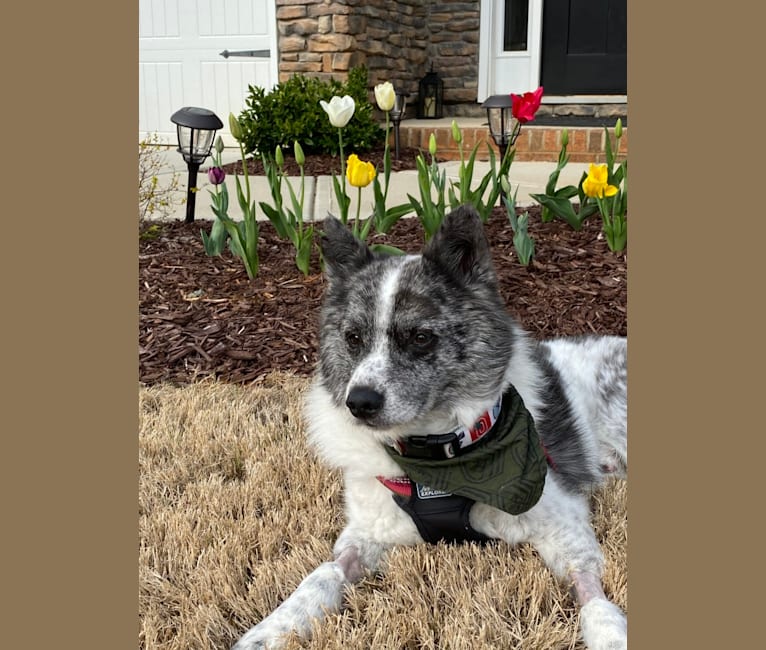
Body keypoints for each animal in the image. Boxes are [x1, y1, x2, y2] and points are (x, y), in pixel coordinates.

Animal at [236, 205, 632, 644]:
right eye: (353, 338)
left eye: (421, 337)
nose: (359, 403)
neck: (438, 457)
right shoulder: (366, 533)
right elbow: (322, 575)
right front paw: (273, 628)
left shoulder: (566, 527)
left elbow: (594, 599)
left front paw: (612, 636)